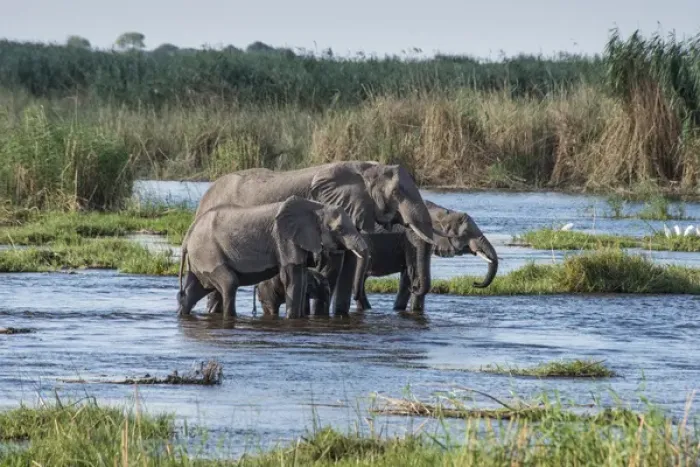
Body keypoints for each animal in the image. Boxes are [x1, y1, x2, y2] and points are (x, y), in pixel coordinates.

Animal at [177, 196, 368, 318]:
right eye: (339, 230)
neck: (316, 206)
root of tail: (188, 236)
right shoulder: (284, 238)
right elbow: (292, 277)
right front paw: (292, 319)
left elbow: (301, 276)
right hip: (208, 252)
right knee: (229, 283)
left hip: (201, 257)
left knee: (196, 289)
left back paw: (182, 313)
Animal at [353, 200, 499, 311]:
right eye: (467, 233)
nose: (474, 283)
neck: (441, 212)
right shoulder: (413, 237)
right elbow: (414, 272)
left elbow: (409, 275)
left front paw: (403, 308)